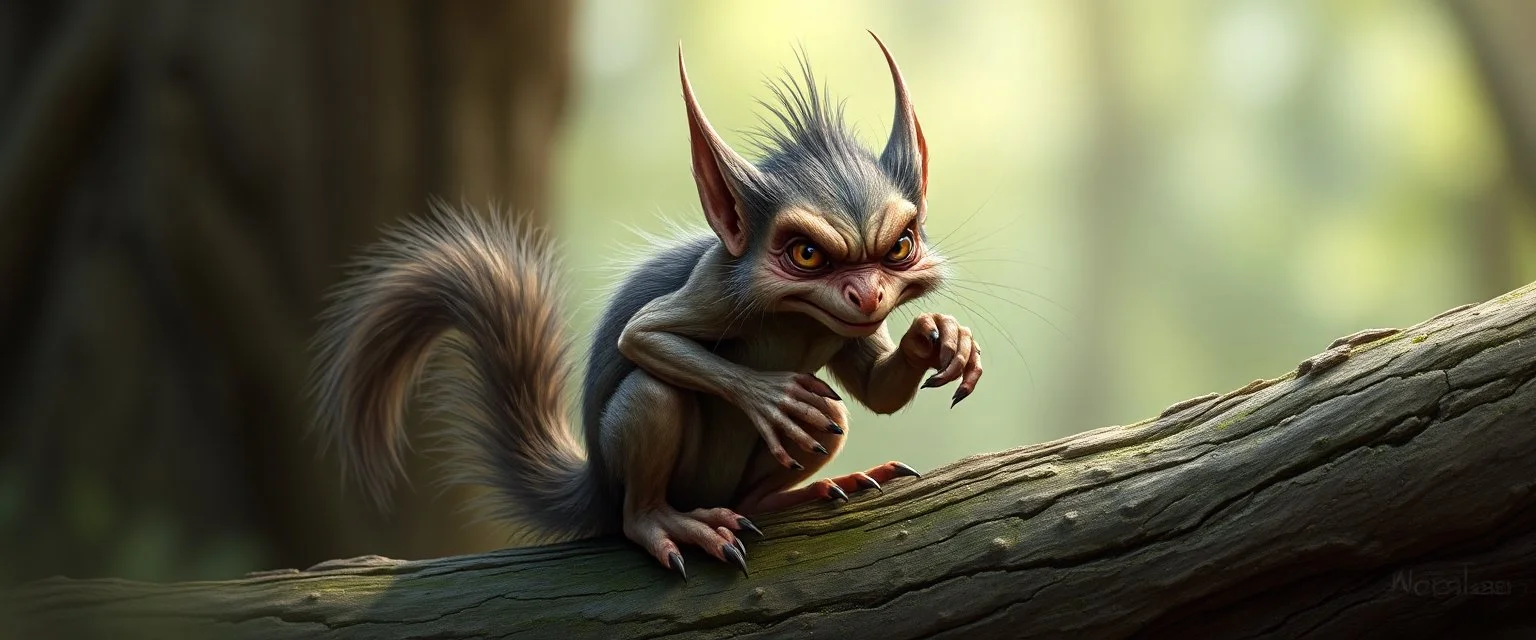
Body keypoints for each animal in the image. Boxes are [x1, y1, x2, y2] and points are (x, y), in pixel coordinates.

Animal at [309, 33, 983, 580]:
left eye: (901, 247)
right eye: (806, 255)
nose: (869, 295)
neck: (799, 319)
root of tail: (596, 490)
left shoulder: (848, 328)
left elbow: (875, 392)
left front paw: (943, 337)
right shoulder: (715, 286)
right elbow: (643, 335)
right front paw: (770, 395)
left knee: (827, 423)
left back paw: (805, 492)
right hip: (642, 465)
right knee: (651, 422)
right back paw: (670, 523)